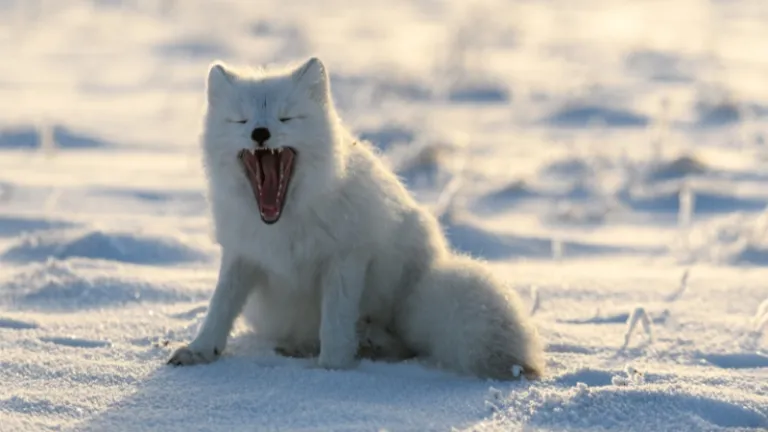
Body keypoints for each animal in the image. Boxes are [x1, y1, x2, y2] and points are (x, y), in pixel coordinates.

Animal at [168, 57, 545, 380]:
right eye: (241, 120)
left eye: (287, 118)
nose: (260, 133)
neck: (285, 221)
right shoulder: (242, 254)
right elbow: (220, 306)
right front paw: (200, 350)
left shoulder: (346, 257)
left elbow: (336, 322)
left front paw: (332, 370)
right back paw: (303, 346)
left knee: (400, 343)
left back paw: (369, 342)